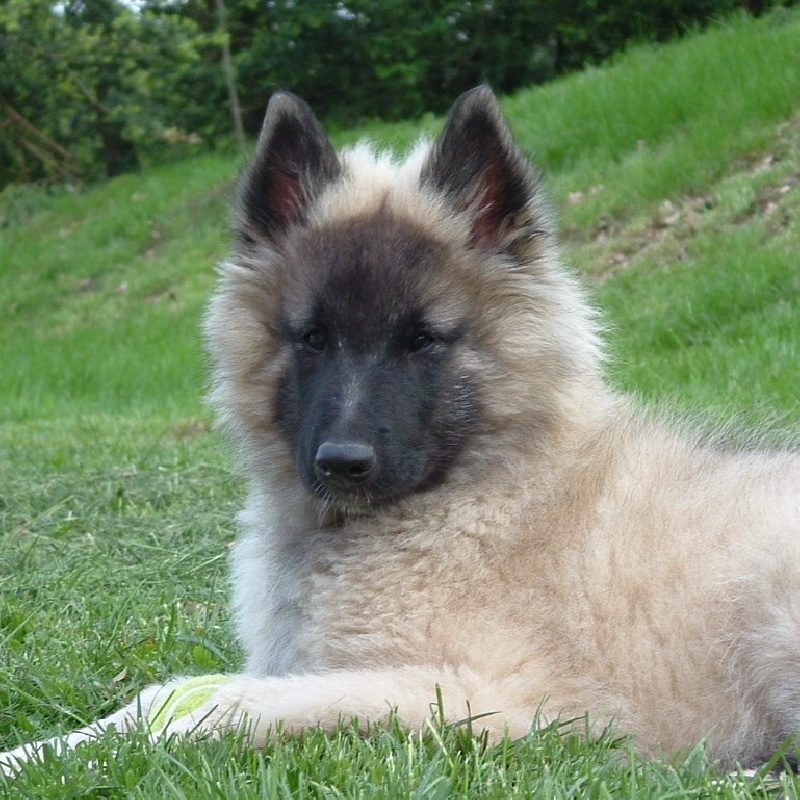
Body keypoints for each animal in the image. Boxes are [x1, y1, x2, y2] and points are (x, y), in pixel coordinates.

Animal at [1, 84, 800, 772]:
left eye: (422, 341)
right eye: (313, 338)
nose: (342, 463)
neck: (474, 493)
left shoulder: (485, 697)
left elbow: (219, 706)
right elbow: (159, 698)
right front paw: (38, 754)